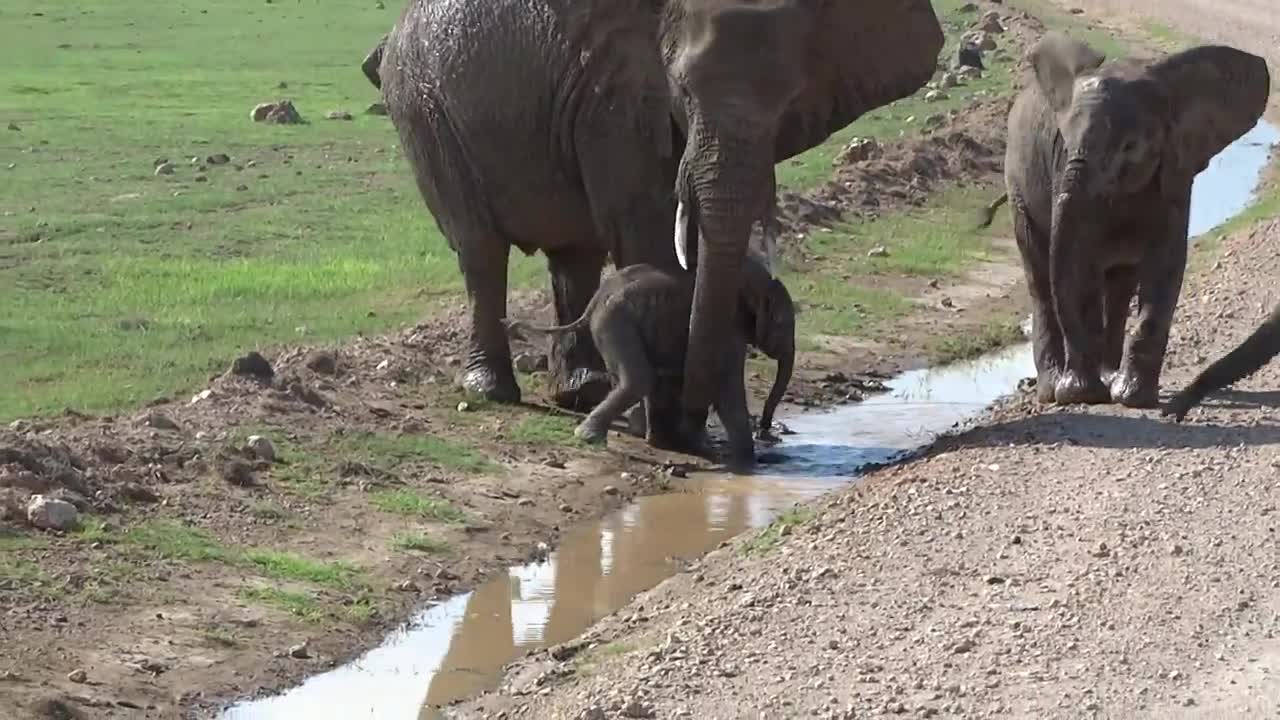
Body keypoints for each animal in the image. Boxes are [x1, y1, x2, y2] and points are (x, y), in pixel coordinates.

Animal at [366, 1, 947, 425]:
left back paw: (583, 392)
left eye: (790, 101)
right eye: (681, 91)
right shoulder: (615, 94)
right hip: (424, 111)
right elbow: (645, 224)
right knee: (481, 249)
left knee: (574, 256)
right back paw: (492, 392)